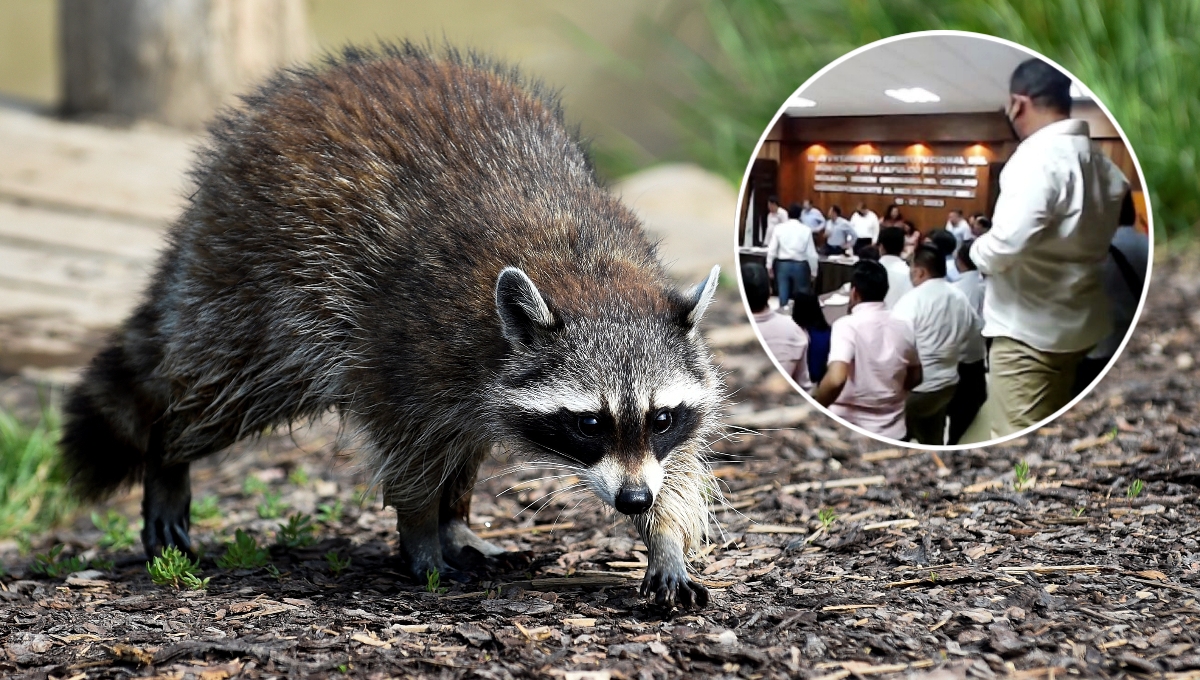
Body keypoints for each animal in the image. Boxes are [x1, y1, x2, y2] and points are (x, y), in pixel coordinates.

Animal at [58, 43, 720, 606]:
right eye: (589, 423)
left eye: (661, 418)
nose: (633, 500)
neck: (588, 272)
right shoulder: (406, 343)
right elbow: (406, 450)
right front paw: (421, 531)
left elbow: (678, 466)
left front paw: (666, 535)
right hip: (257, 287)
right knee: (226, 391)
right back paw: (168, 453)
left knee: (463, 436)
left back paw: (458, 519)